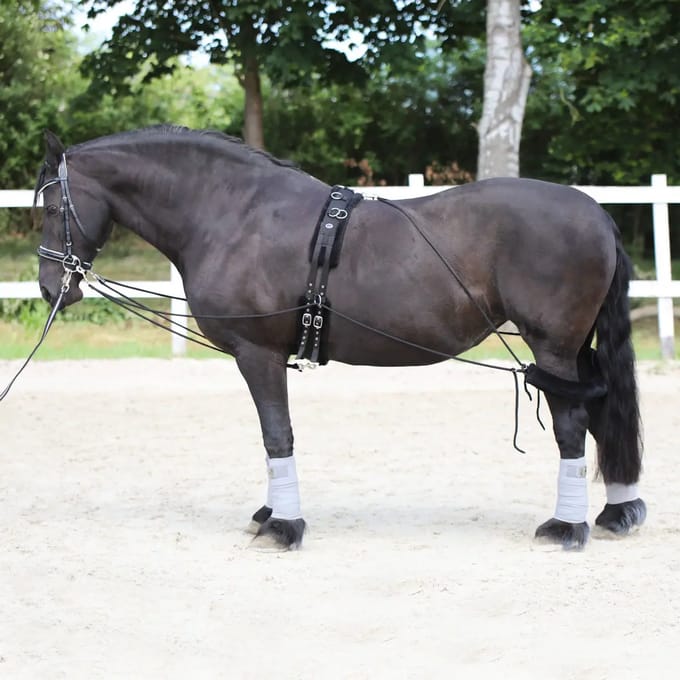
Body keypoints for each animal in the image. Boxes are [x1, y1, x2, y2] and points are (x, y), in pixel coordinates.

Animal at [35, 125, 646, 551]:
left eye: (50, 205)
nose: (49, 286)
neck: (235, 214)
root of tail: (595, 212)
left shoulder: (258, 355)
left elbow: (276, 434)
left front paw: (284, 525)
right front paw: (272, 513)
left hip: (554, 347)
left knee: (572, 425)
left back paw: (566, 527)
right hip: (576, 351)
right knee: (601, 414)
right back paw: (617, 512)